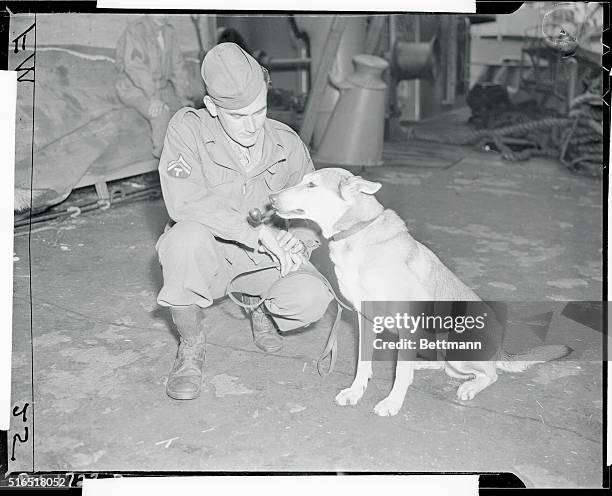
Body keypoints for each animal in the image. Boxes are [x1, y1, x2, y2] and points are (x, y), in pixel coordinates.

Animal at [270, 169, 572, 416]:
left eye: (311, 185)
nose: (271, 198)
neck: (357, 232)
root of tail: (498, 348)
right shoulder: (365, 319)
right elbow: (363, 364)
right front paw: (356, 392)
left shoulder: (407, 321)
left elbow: (399, 373)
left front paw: (392, 402)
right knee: (439, 365)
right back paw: (422, 366)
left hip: (456, 348)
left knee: (490, 374)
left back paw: (469, 386)